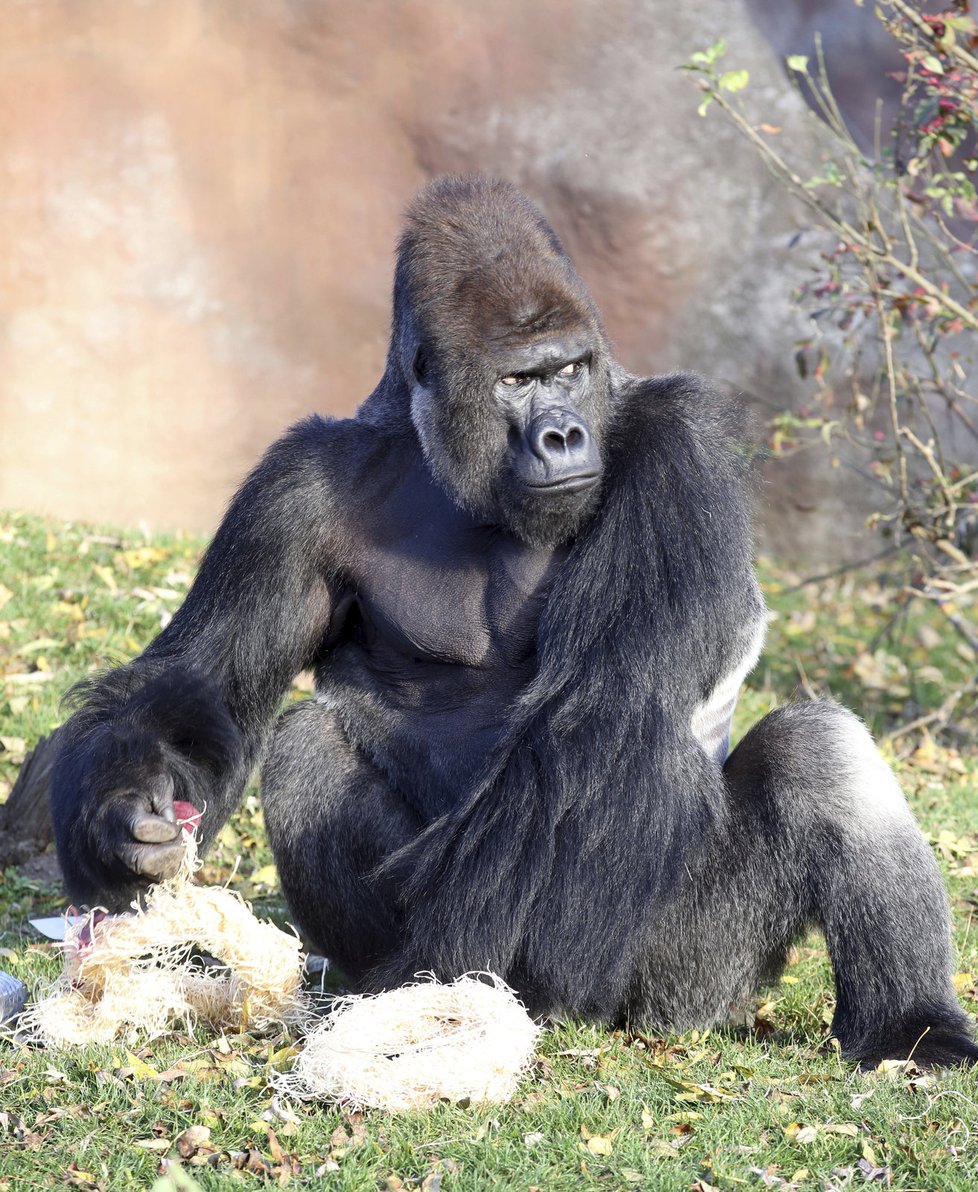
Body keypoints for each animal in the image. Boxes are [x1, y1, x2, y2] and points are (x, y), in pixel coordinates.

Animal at [51, 172, 978, 1068]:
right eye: (518, 381)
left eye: (567, 369)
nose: (564, 435)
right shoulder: (294, 488)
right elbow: (204, 678)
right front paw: (122, 821)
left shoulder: (681, 445)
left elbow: (597, 717)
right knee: (306, 747)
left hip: (685, 982)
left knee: (814, 753)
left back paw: (911, 1026)